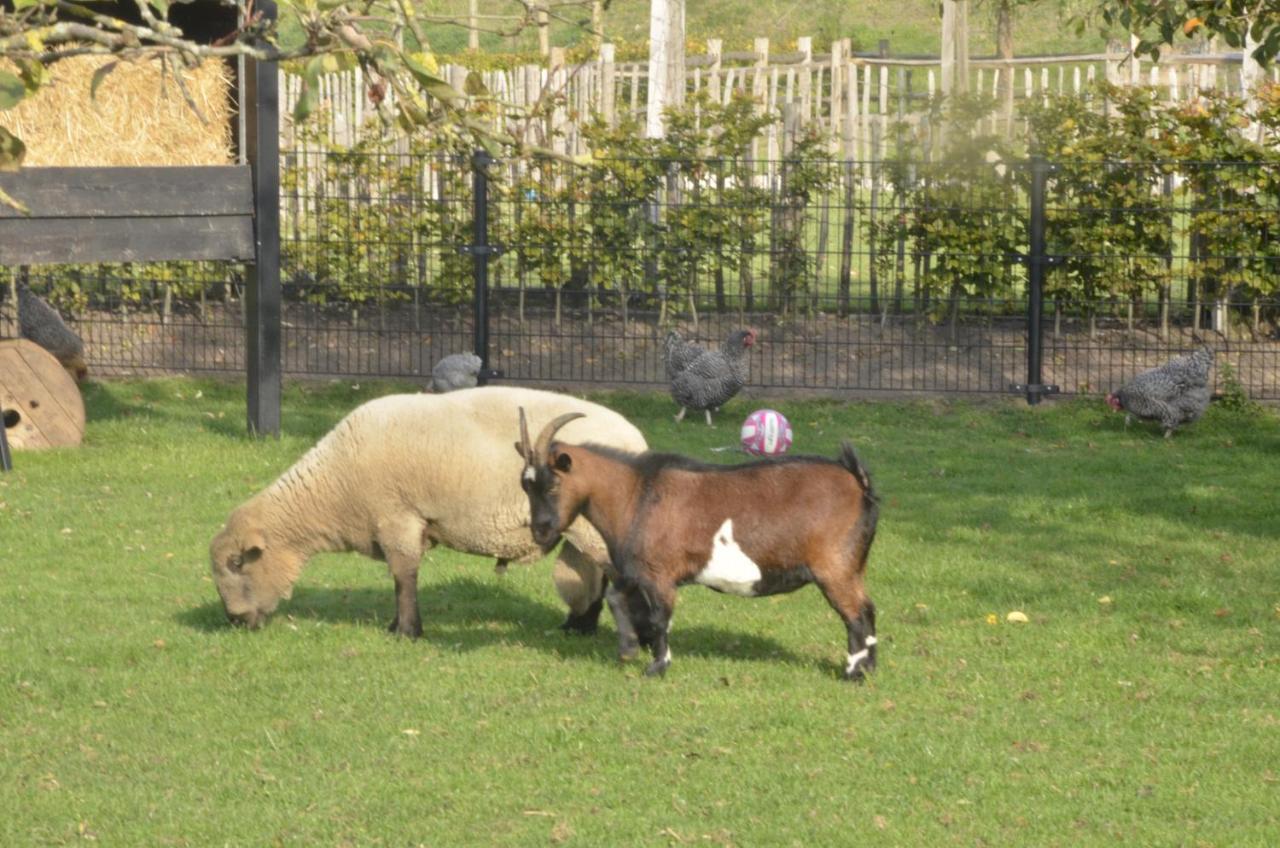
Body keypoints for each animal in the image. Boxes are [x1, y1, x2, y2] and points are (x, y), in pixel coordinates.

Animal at [215, 386, 650, 655]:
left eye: (237, 563)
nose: (235, 621)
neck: (334, 487)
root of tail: (638, 440)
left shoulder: (398, 518)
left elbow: (403, 577)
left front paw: (406, 631)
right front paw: (399, 626)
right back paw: (579, 627)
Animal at [512, 412, 880, 686]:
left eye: (553, 484)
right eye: (525, 486)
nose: (540, 530)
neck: (636, 494)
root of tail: (857, 481)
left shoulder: (660, 575)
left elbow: (661, 618)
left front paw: (657, 666)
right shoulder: (635, 571)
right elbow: (616, 597)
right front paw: (630, 648)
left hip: (835, 567)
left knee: (855, 614)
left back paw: (852, 672)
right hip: (852, 567)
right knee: (869, 609)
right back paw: (870, 668)